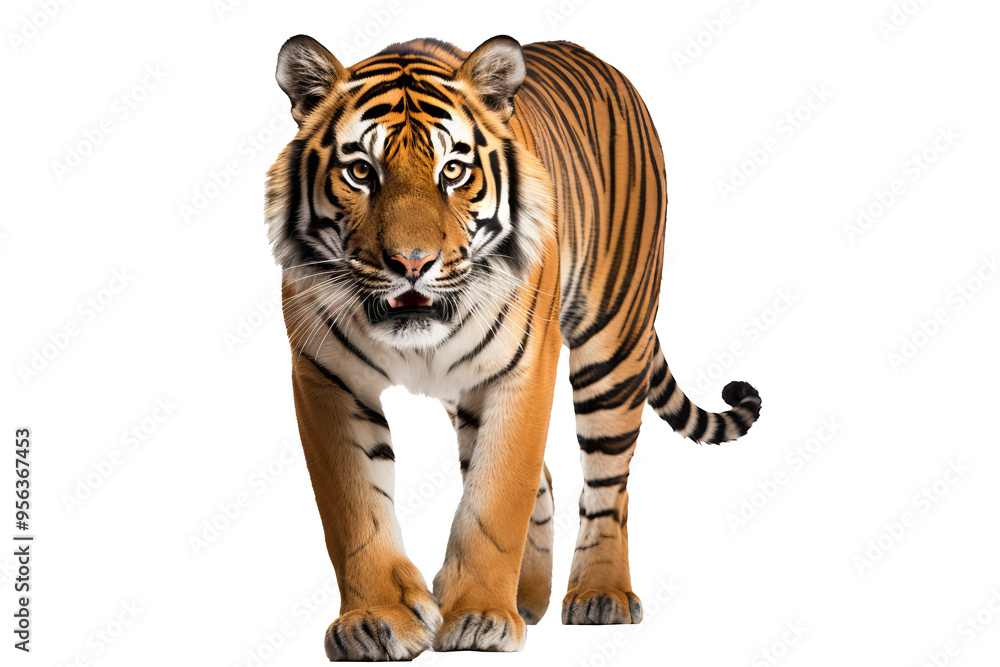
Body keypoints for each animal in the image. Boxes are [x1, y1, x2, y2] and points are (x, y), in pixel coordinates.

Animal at [265, 33, 762, 660]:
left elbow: (496, 498)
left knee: (608, 483)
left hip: (612, 344)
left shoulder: (522, 370)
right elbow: (355, 510)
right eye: (360, 171)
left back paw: (600, 595)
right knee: (544, 479)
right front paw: (375, 622)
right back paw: (527, 597)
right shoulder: (325, 376)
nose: (411, 264)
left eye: (453, 170)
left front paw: (480, 616)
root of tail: (599, 60)